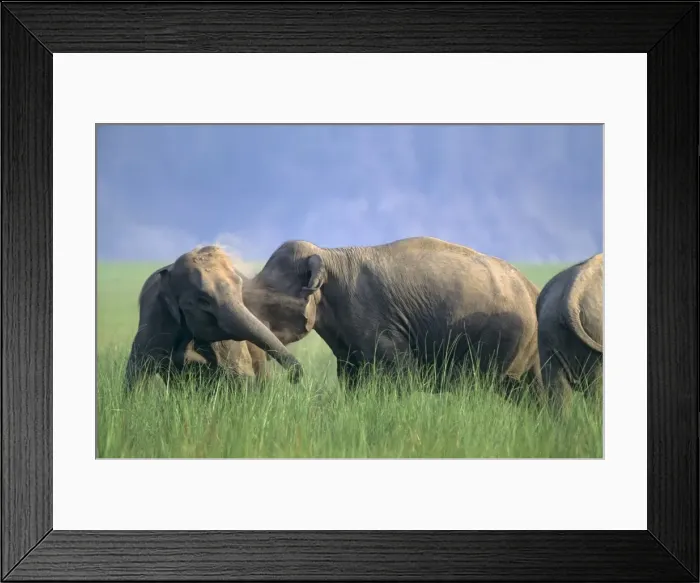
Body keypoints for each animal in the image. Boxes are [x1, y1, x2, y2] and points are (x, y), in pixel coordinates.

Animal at [123, 245, 302, 392]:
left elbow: (240, 377)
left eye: (240, 287)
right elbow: (136, 376)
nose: (295, 377)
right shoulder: (155, 318)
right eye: (203, 300)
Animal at [241, 236, 543, 391]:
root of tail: (532, 289)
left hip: (502, 337)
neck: (328, 255)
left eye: (267, 300)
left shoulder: (375, 321)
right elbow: (350, 375)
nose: (295, 379)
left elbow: (398, 375)